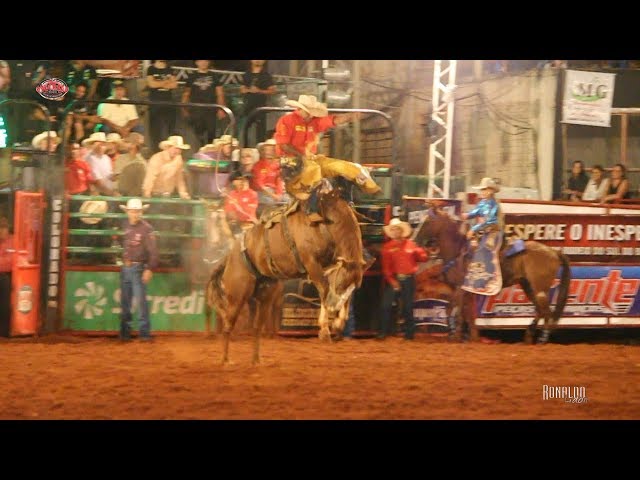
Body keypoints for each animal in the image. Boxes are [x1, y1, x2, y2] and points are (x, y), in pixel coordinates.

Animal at [205, 188, 364, 364]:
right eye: (341, 284)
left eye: (354, 286)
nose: (335, 309)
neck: (327, 223)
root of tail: (229, 256)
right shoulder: (312, 264)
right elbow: (324, 290)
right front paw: (325, 330)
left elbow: (334, 293)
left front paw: (338, 322)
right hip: (237, 296)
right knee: (228, 324)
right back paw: (225, 360)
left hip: (265, 296)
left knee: (256, 327)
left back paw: (256, 360)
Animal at [416, 204, 568, 344]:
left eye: (428, 221)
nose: (416, 240)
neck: (459, 252)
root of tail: (553, 252)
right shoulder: (463, 291)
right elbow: (462, 313)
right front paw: (466, 336)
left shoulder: (460, 289)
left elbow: (456, 312)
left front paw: (456, 336)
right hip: (528, 286)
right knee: (541, 310)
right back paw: (529, 337)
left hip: (539, 288)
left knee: (546, 311)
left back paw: (542, 340)